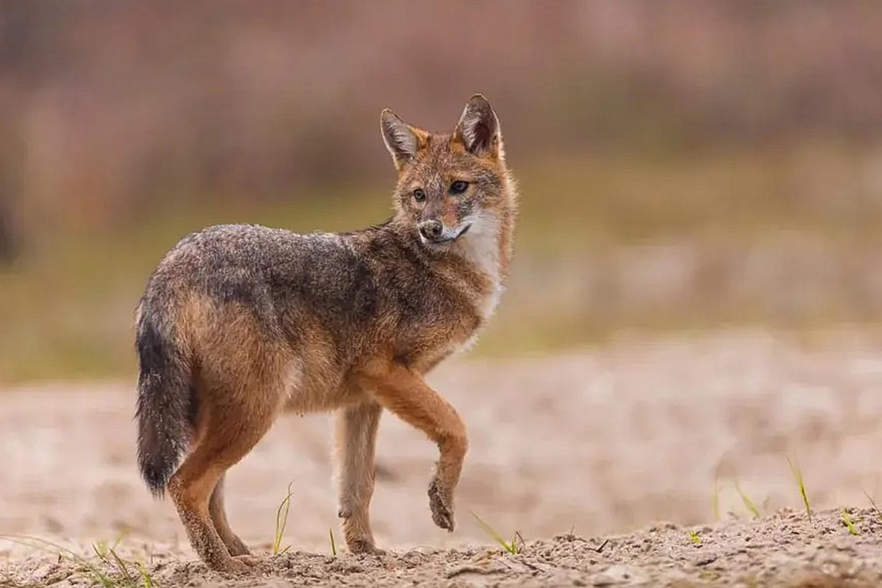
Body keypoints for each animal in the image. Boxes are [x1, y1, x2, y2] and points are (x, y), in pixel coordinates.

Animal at [135, 95, 517, 572]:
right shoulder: (386, 373)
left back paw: (237, 550)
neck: (443, 268)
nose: (431, 229)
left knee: (210, 489)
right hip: (256, 411)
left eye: (458, 188)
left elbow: (358, 486)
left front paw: (366, 551)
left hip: (224, 417)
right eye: (419, 196)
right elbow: (457, 428)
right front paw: (440, 503)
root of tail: (169, 264)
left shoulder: (365, 399)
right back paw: (224, 564)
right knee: (185, 484)